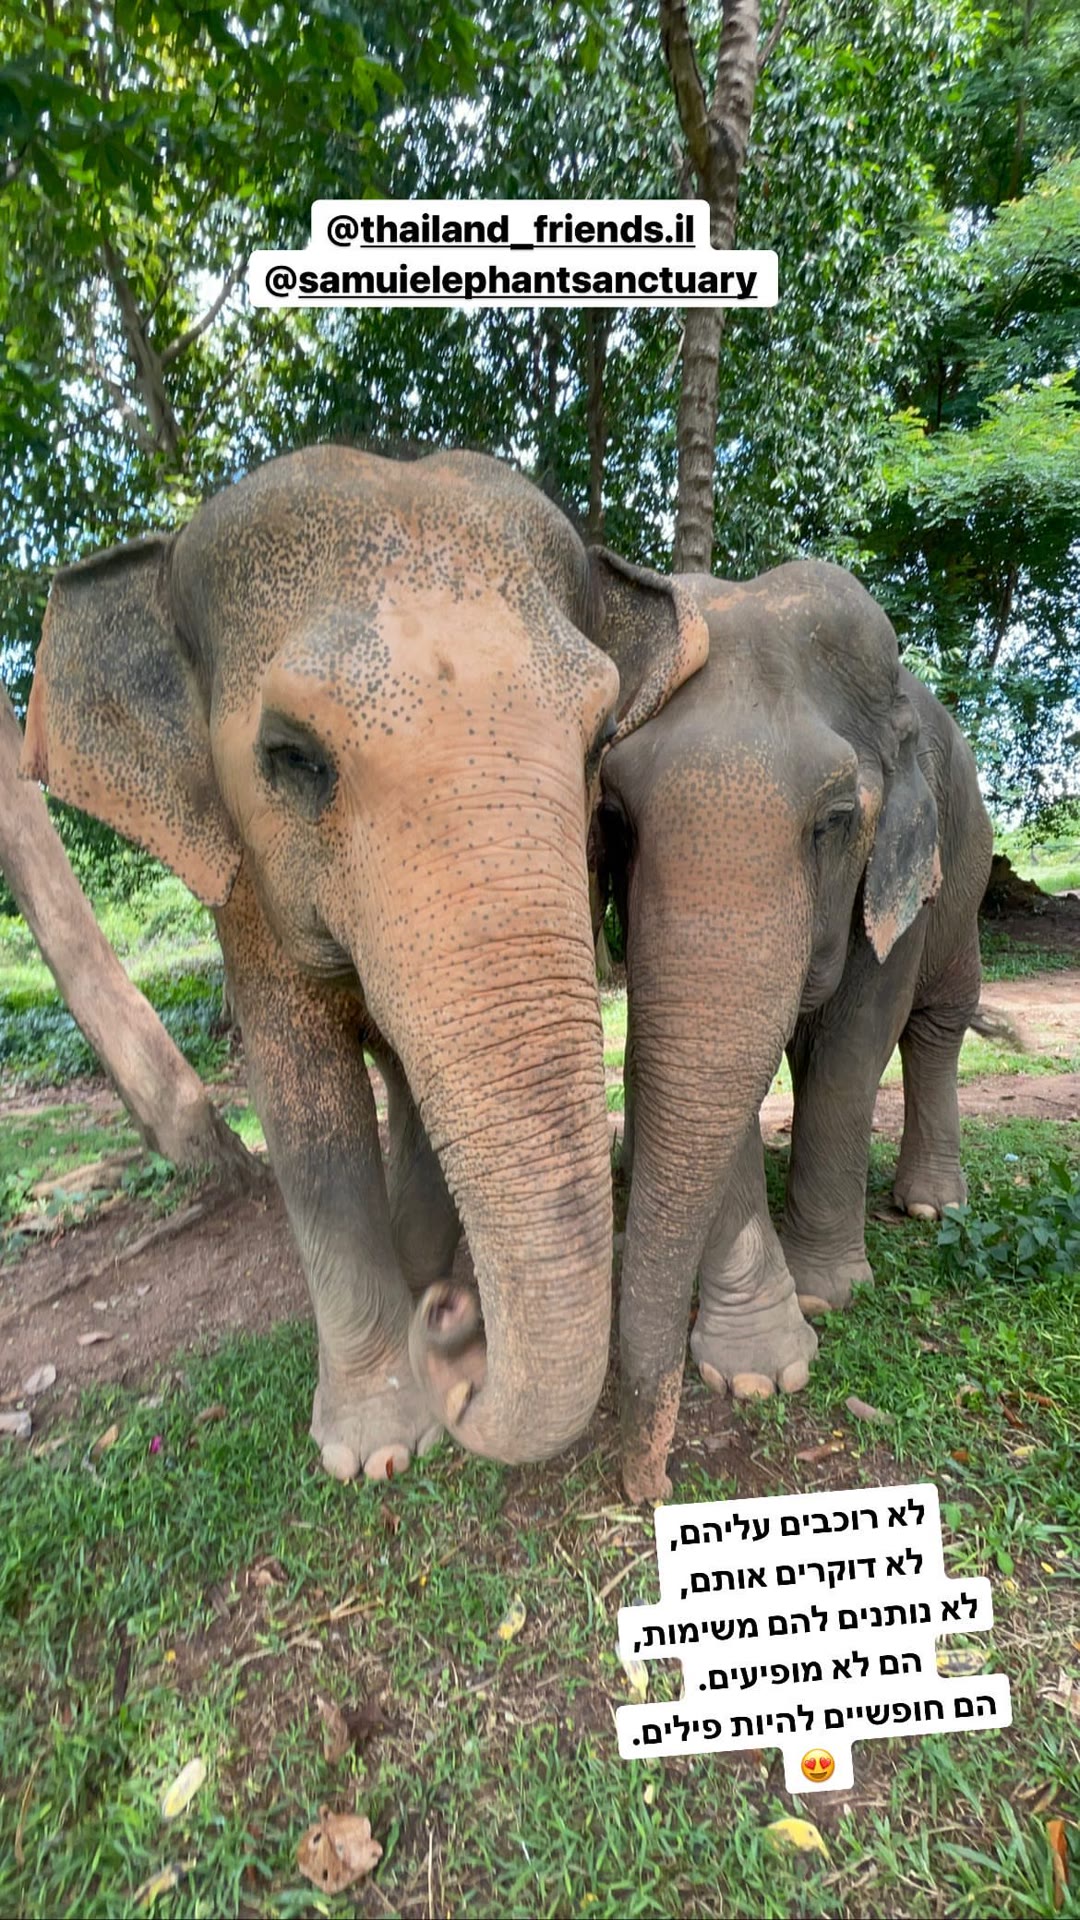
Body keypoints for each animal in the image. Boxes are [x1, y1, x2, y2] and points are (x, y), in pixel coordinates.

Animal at [21, 444, 709, 1482]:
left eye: (599, 742)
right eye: (291, 757)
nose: (455, 1329)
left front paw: (422, 1331)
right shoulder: (245, 895)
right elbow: (304, 1105)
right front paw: (376, 1450)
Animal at [595, 559, 993, 1501]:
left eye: (835, 821)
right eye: (617, 821)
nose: (648, 1488)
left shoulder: (902, 860)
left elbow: (859, 1038)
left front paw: (831, 1295)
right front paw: (757, 1373)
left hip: (966, 873)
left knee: (937, 1023)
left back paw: (932, 1204)